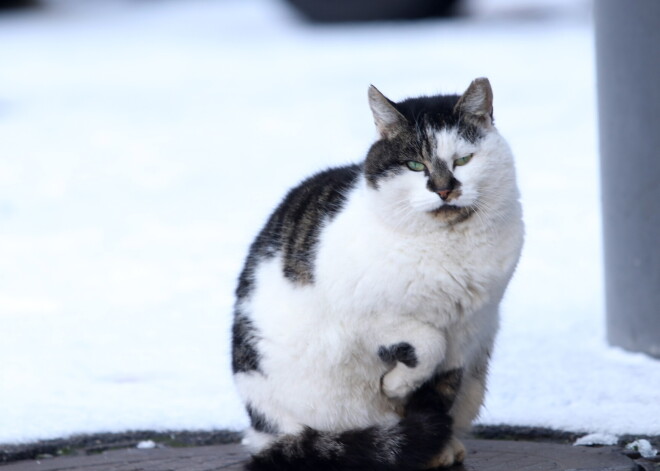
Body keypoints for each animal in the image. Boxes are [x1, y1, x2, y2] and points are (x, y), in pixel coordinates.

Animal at [229, 79, 524, 470]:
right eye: (414, 165)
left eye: (463, 159)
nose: (445, 189)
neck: (449, 248)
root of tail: (259, 431)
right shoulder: (364, 318)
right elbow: (427, 343)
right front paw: (397, 391)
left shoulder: (469, 330)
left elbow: (439, 391)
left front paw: (431, 442)